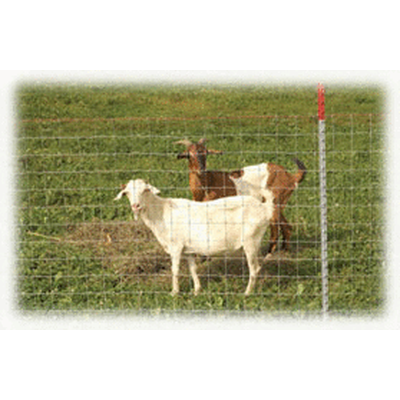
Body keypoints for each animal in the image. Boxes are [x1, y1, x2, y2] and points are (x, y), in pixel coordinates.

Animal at [114, 178, 274, 296]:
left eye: (145, 190)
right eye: (127, 192)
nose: (136, 206)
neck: (162, 211)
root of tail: (265, 208)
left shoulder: (176, 246)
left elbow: (175, 270)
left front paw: (174, 292)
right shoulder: (188, 250)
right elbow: (193, 269)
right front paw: (197, 290)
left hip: (250, 241)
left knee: (254, 268)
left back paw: (247, 293)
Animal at [175, 138, 307, 258]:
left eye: (205, 153)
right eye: (189, 154)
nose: (201, 169)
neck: (208, 183)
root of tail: (291, 177)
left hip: (275, 201)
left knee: (275, 229)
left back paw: (268, 255)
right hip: (278, 203)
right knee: (287, 226)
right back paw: (284, 251)